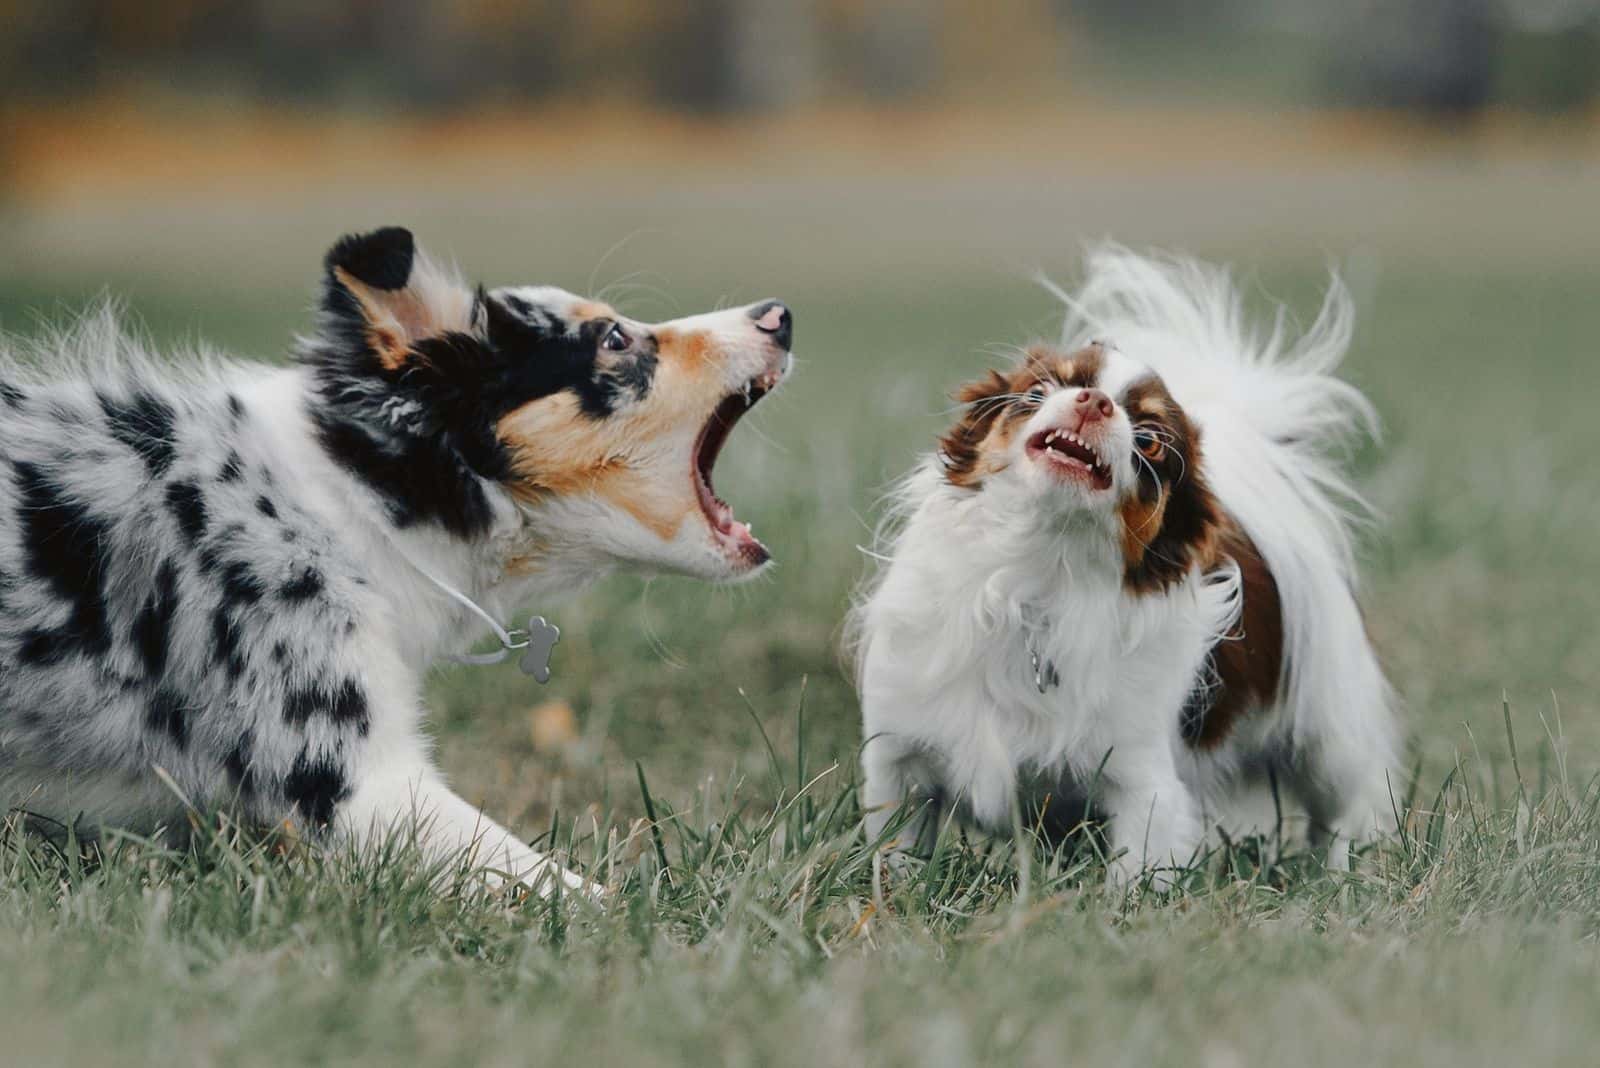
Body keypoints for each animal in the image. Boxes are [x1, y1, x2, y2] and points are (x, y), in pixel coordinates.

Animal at [851, 247, 1401, 882]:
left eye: (1153, 441)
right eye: (1041, 389)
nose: (1095, 401)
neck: (1038, 577)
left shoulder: (1142, 784)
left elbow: (1136, 872)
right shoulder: (900, 761)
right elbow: (895, 855)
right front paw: (894, 893)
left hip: (1328, 735)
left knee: (1352, 802)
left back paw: (1352, 870)